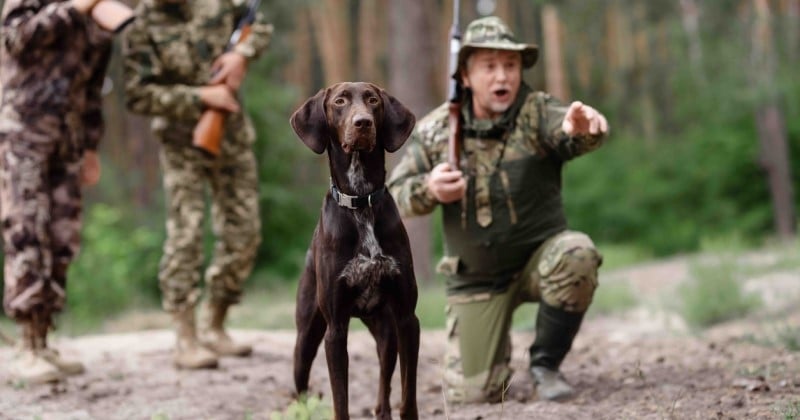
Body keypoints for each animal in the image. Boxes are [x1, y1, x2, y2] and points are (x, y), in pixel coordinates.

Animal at [290, 83, 422, 420]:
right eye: (339, 102)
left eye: (373, 100)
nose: (363, 122)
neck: (361, 201)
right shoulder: (335, 330)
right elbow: (341, 400)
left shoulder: (407, 319)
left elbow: (408, 393)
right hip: (306, 338)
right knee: (300, 387)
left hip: (386, 330)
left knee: (384, 381)